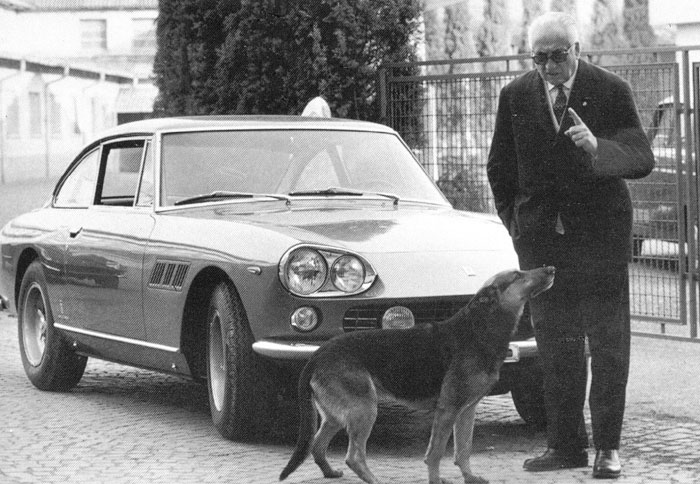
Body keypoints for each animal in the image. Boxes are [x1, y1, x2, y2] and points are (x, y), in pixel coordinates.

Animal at [282, 266, 556, 482]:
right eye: (517, 275)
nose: (551, 268)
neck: (479, 329)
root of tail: (317, 355)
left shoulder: (466, 410)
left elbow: (463, 450)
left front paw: (469, 477)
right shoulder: (448, 410)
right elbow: (435, 455)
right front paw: (436, 480)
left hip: (338, 415)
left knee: (317, 445)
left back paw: (330, 473)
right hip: (364, 409)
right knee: (354, 457)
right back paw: (374, 480)